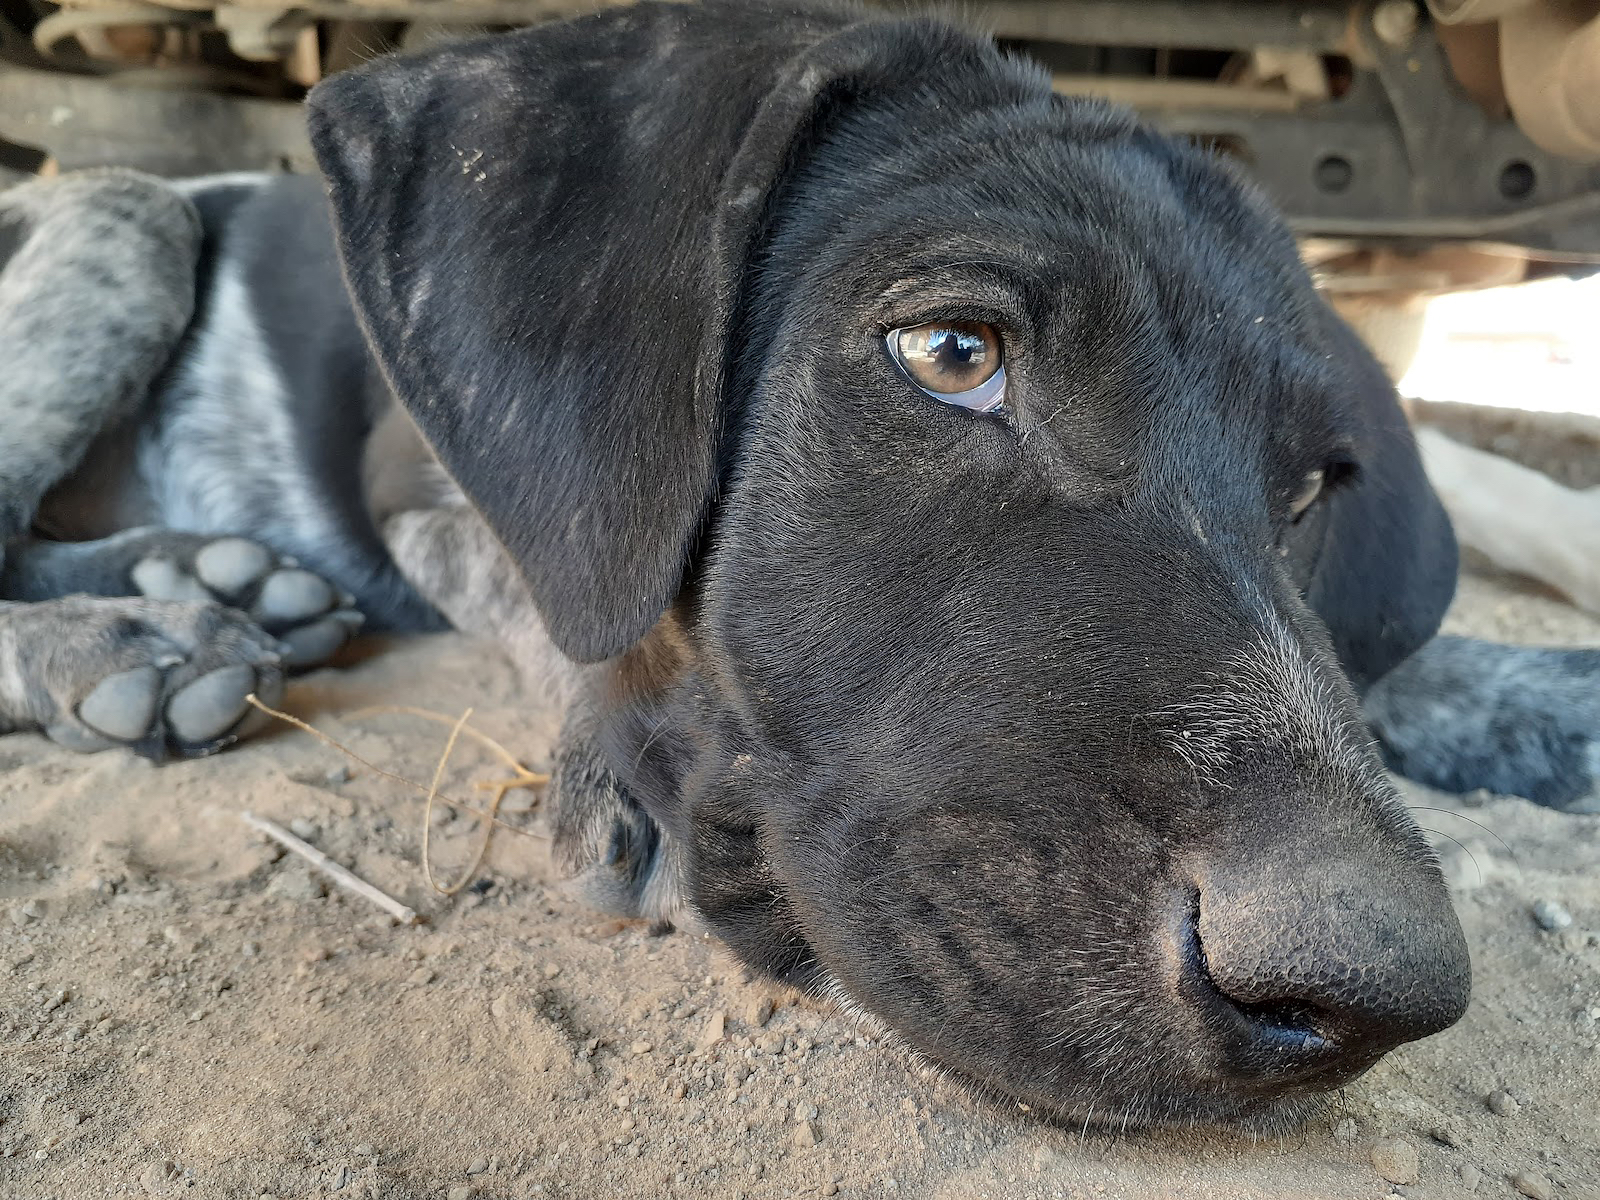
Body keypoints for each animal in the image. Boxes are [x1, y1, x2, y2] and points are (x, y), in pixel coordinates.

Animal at [3, 0, 1587, 1132]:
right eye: (951, 352)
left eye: (1313, 486)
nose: (1366, 985)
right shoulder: (417, 479)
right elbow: (581, 597)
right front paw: (619, 761)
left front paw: (1545, 701)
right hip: (125, 212)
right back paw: (130, 647)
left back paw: (207, 583)